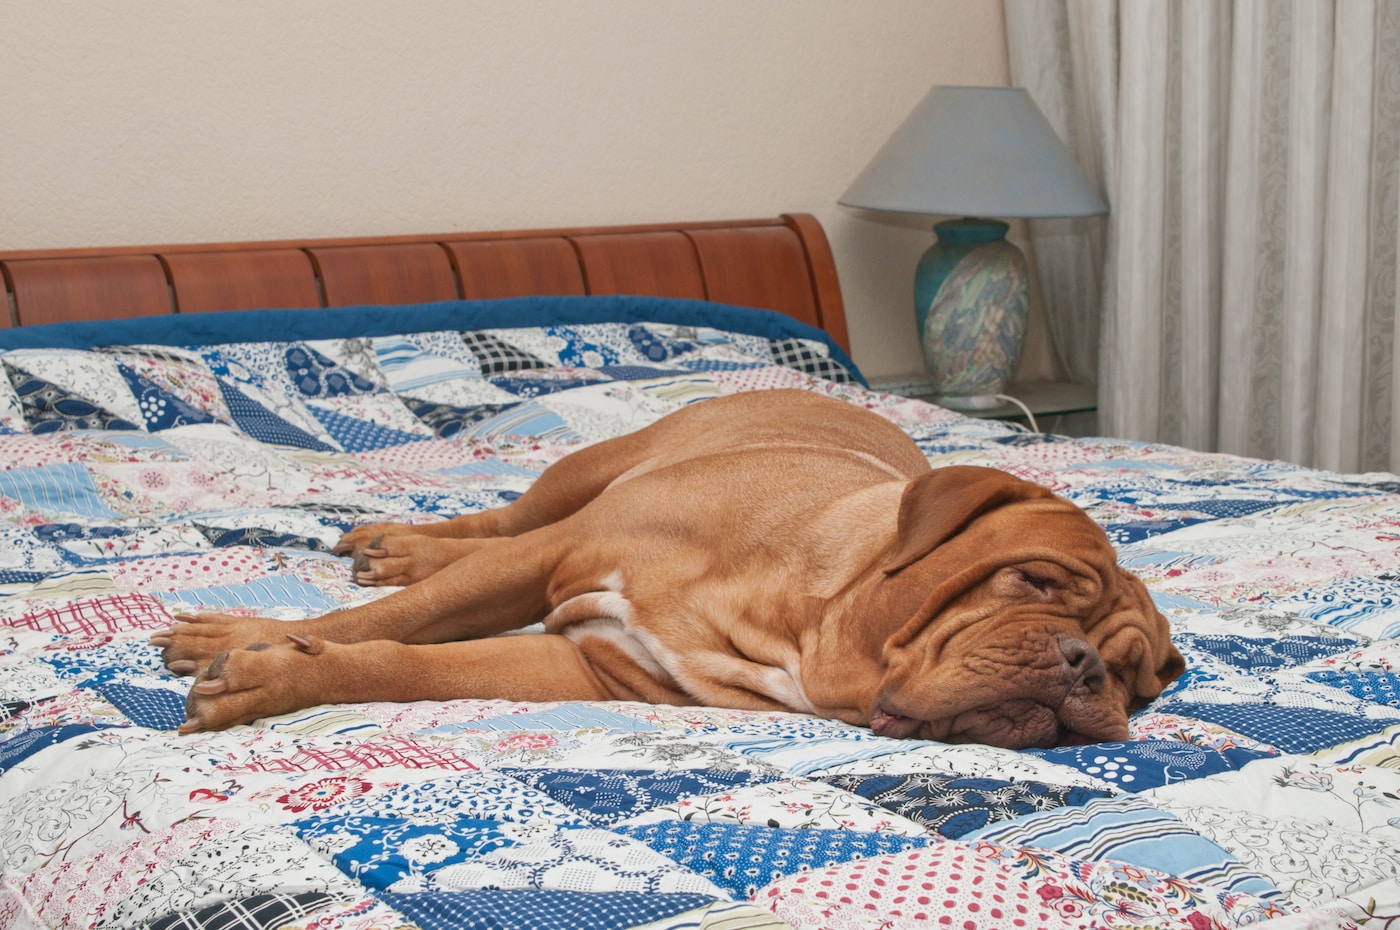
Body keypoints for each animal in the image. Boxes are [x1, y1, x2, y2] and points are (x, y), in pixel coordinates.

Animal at [153, 386, 1181, 750]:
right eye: (1034, 583)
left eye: (1138, 683)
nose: (1085, 668)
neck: (790, 619)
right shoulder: (555, 557)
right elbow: (372, 626)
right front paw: (242, 638)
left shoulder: (585, 666)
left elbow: (405, 664)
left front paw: (268, 674)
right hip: (587, 471)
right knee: (500, 519)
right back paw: (398, 543)